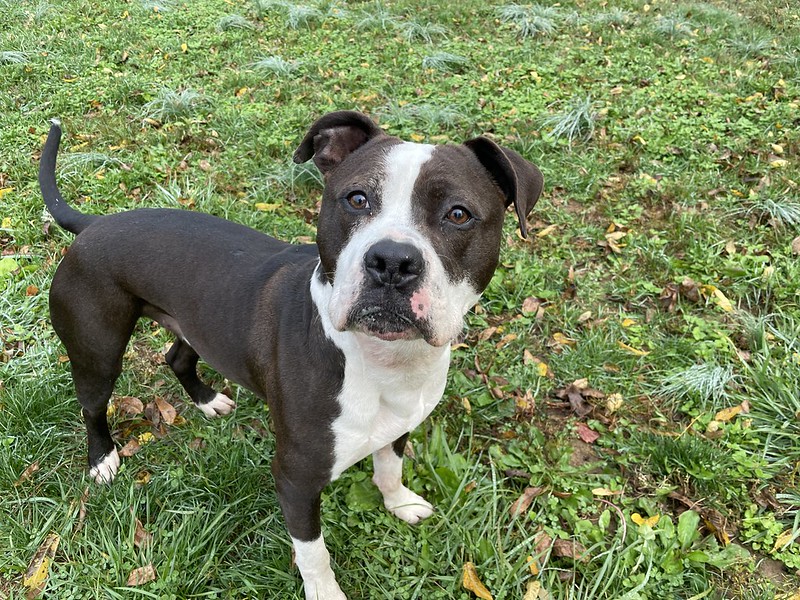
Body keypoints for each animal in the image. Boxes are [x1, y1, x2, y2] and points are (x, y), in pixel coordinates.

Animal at [42, 110, 544, 596]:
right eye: (356, 199)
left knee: (178, 357)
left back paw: (207, 400)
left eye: (458, 214)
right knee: (92, 405)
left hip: (196, 324)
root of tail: (95, 224)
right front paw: (325, 592)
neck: (381, 362)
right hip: (98, 349)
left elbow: (389, 468)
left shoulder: (400, 427)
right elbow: (313, 552)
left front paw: (399, 502)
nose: (392, 261)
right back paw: (102, 459)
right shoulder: (296, 480)